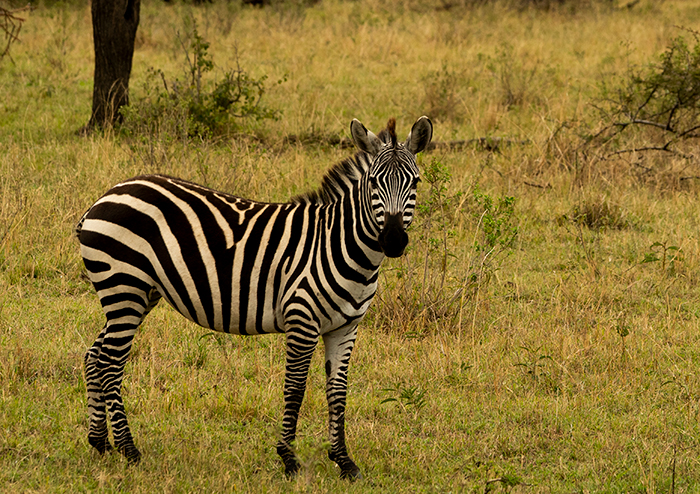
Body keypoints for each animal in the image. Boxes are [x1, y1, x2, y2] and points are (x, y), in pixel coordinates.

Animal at [75, 116, 433, 479]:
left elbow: (337, 393)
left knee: (94, 355)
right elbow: (295, 389)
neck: (340, 244)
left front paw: (344, 461)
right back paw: (128, 449)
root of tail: (107, 195)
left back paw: (99, 441)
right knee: (111, 363)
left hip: (138, 294)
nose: (393, 240)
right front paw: (289, 458)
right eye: (374, 183)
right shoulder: (302, 320)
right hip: (124, 288)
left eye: (415, 182)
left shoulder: (345, 327)